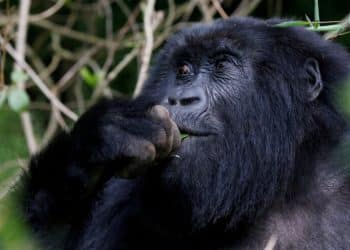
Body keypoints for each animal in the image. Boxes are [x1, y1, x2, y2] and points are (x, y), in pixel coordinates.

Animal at [19, 16, 350, 249]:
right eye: (183, 71)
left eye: (222, 66)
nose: (181, 99)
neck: (285, 186)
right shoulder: (121, 195)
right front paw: (98, 142)